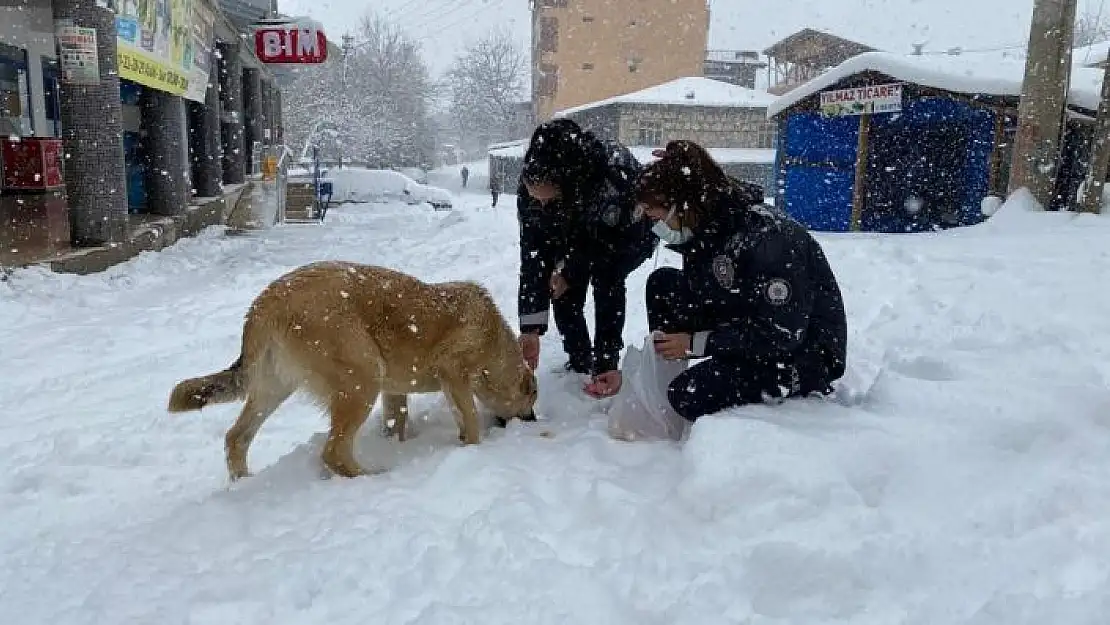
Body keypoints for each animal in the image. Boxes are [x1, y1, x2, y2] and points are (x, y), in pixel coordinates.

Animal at [165, 261, 541, 481]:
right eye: (531, 400)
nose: (533, 420)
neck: (495, 338)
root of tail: (265, 301)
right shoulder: (453, 374)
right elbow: (471, 420)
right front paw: (472, 448)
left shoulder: (396, 391)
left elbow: (398, 421)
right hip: (363, 378)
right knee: (333, 452)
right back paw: (371, 476)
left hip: (275, 388)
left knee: (236, 438)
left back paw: (244, 483)